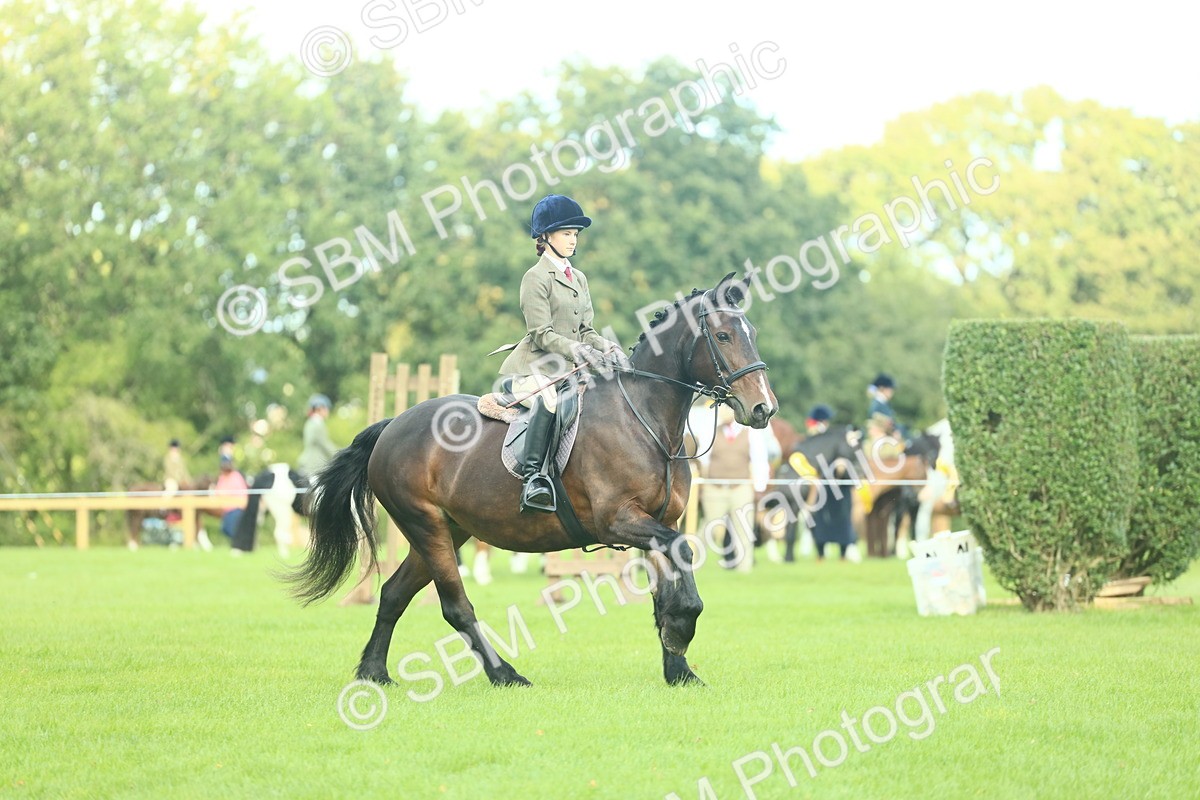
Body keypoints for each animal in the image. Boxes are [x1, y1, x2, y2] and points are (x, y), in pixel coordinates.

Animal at [286, 273, 778, 687]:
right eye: (723, 335)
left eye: (752, 332)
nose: (763, 409)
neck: (645, 417)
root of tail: (393, 425)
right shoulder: (619, 520)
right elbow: (683, 557)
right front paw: (681, 628)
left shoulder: (662, 521)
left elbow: (666, 583)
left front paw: (678, 668)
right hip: (425, 526)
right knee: (455, 607)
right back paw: (504, 674)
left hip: (446, 530)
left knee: (392, 595)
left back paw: (373, 673)